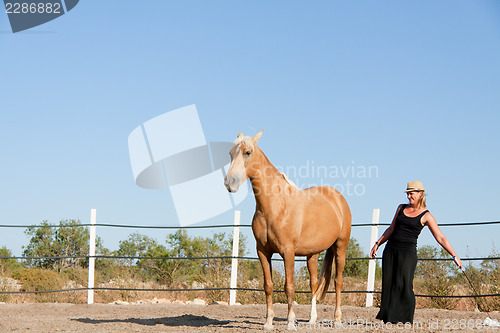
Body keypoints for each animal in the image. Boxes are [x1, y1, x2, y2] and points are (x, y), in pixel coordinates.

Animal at [225, 130, 350, 330]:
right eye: (230, 153)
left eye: (247, 152)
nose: (230, 182)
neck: (275, 205)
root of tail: (338, 199)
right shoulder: (263, 252)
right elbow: (268, 286)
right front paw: (268, 323)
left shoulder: (288, 252)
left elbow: (289, 286)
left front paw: (291, 322)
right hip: (312, 254)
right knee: (314, 283)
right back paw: (312, 319)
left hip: (340, 248)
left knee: (338, 282)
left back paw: (337, 320)